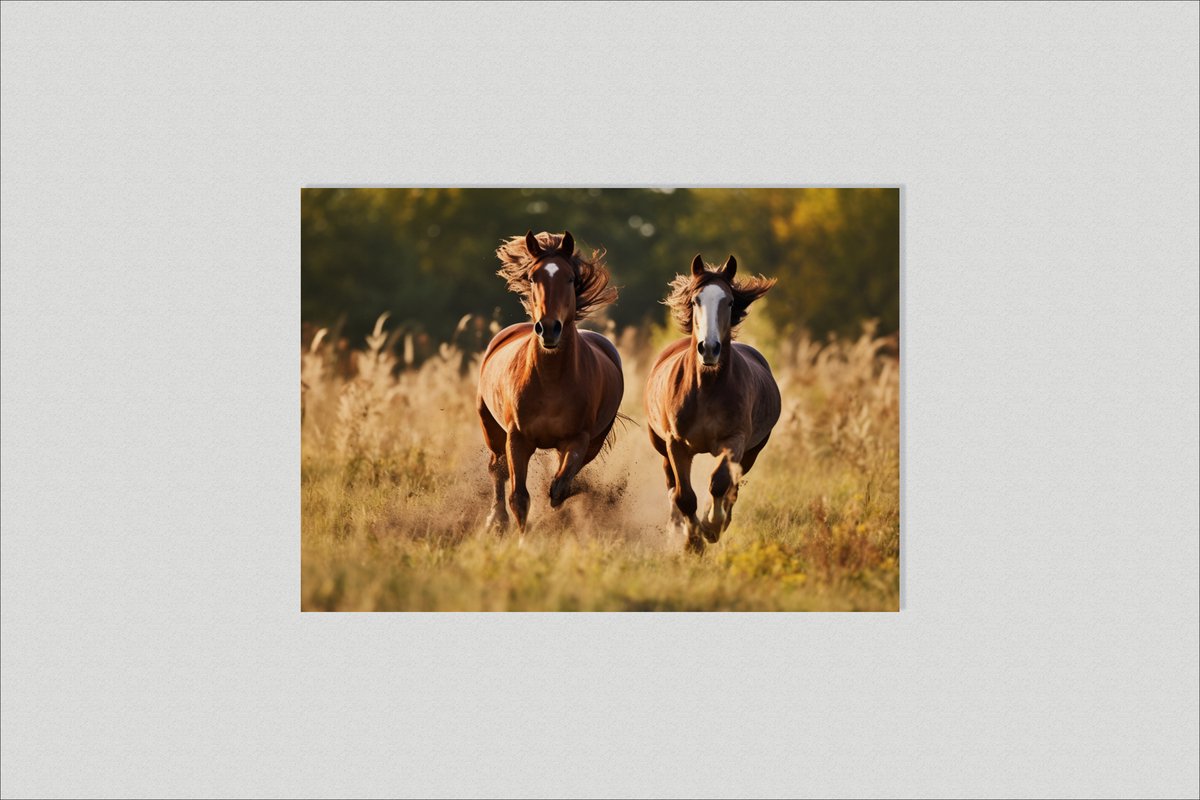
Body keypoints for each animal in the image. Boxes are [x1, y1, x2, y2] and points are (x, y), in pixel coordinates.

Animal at [477, 230, 625, 531]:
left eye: (570, 278)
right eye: (533, 277)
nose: (548, 329)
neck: (551, 380)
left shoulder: (578, 440)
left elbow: (559, 487)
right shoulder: (517, 438)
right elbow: (518, 497)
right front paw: (522, 537)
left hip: (593, 442)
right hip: (490, 426)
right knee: (497, 469)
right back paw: (496, 521)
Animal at [643, 254, 780, 553]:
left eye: (728, 301)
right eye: (696, 300)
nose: (709, 348)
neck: (706, 388)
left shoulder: (734, 441)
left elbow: (719, 484)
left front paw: (711, 527)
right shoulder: (676, 444)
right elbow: (684, 495)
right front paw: (692, 541)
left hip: (752, 452)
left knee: (732, 488)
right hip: (660, 445)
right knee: (671, 485)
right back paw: (676, 528)